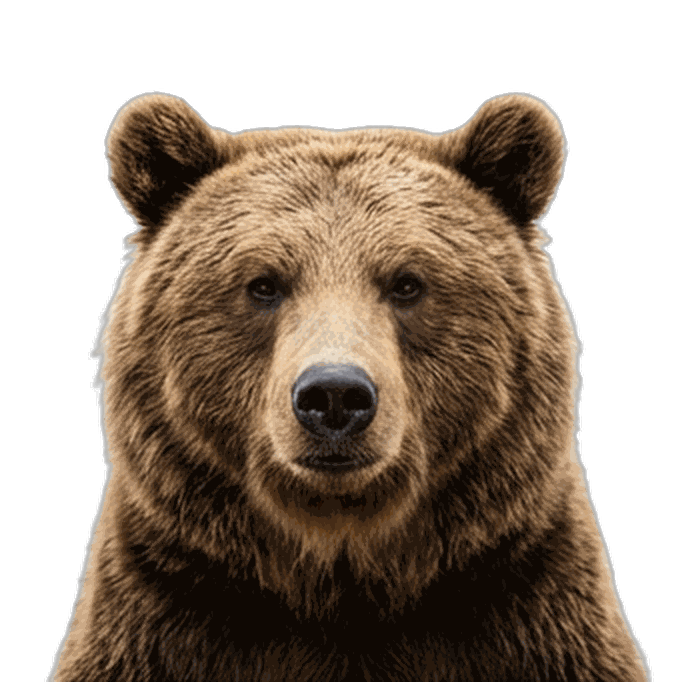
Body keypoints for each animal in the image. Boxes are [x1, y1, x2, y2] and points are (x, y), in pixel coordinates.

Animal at [51, 93, 649, 681]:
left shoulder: (536, 610)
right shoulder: (156, 616)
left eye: (407, 283)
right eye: (263, 284)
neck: (340, 571)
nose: (335, 395)